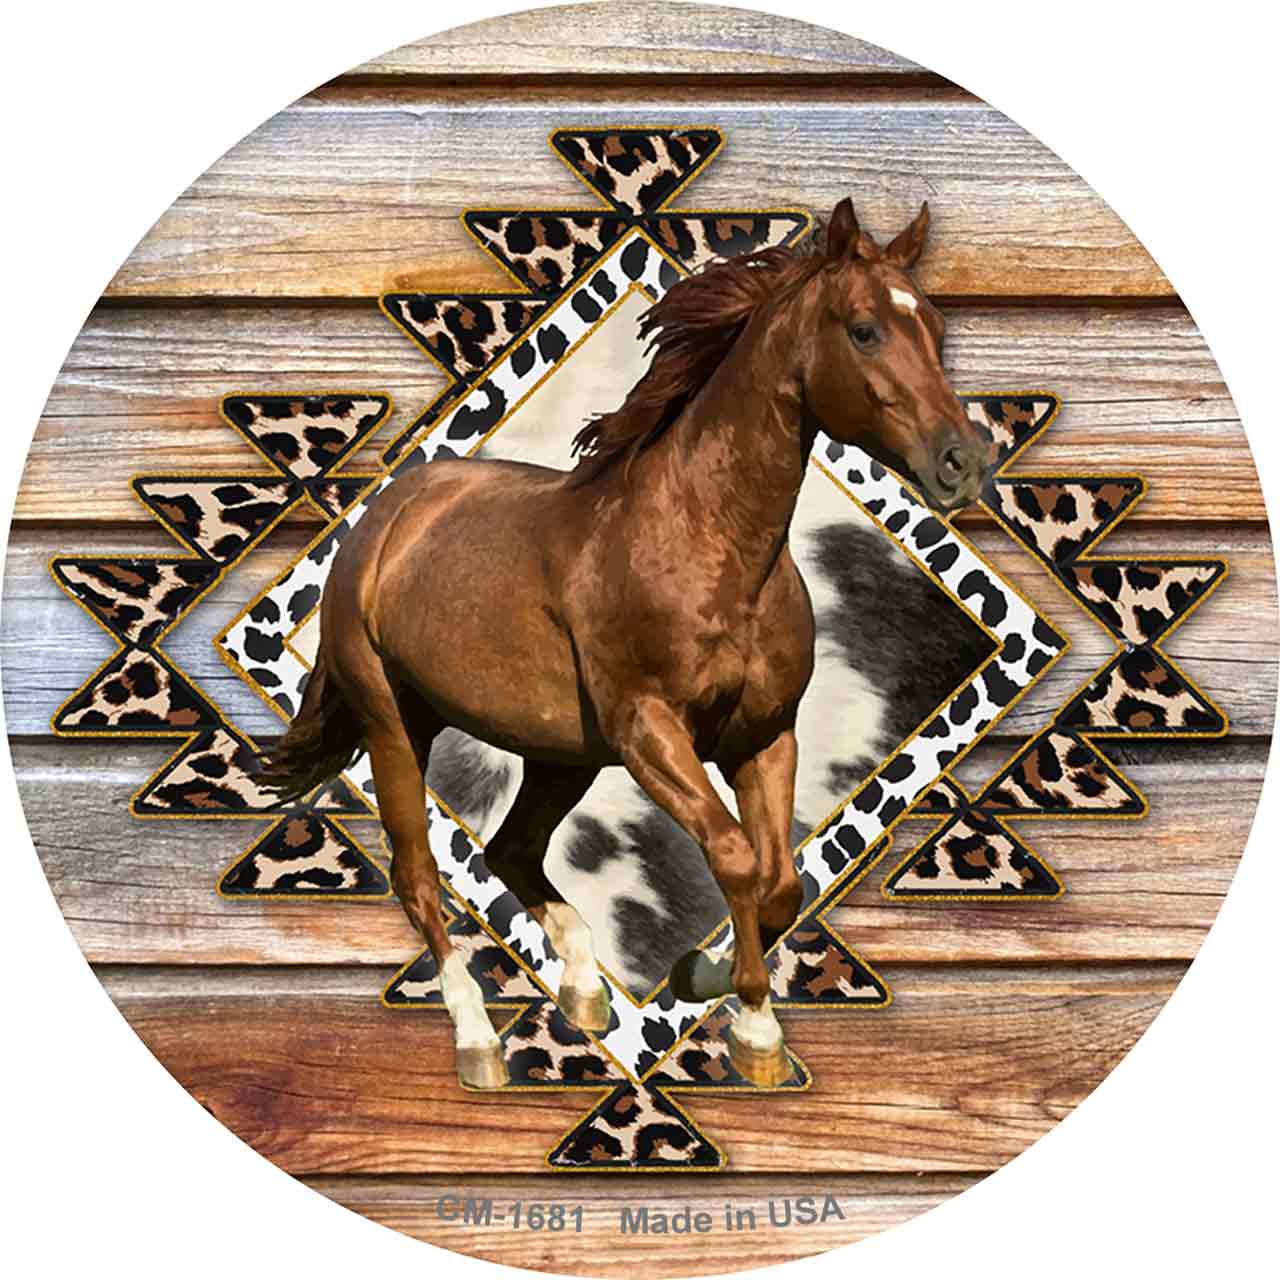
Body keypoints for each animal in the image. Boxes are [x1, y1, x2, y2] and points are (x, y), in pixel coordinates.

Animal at [258, 196, 990, 1088]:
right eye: (863, 330)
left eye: (938, 328)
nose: (964, 462)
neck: (707, 545)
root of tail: (382, 517)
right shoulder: (650, 732)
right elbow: (737, 859)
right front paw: (754, 1031)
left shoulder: (763, 735)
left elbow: (781, 880)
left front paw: (706, 980)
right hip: (396, 725)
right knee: (419, 877)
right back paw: (479, 1041)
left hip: (561, 752)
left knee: (512, 850)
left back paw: (584, 991)